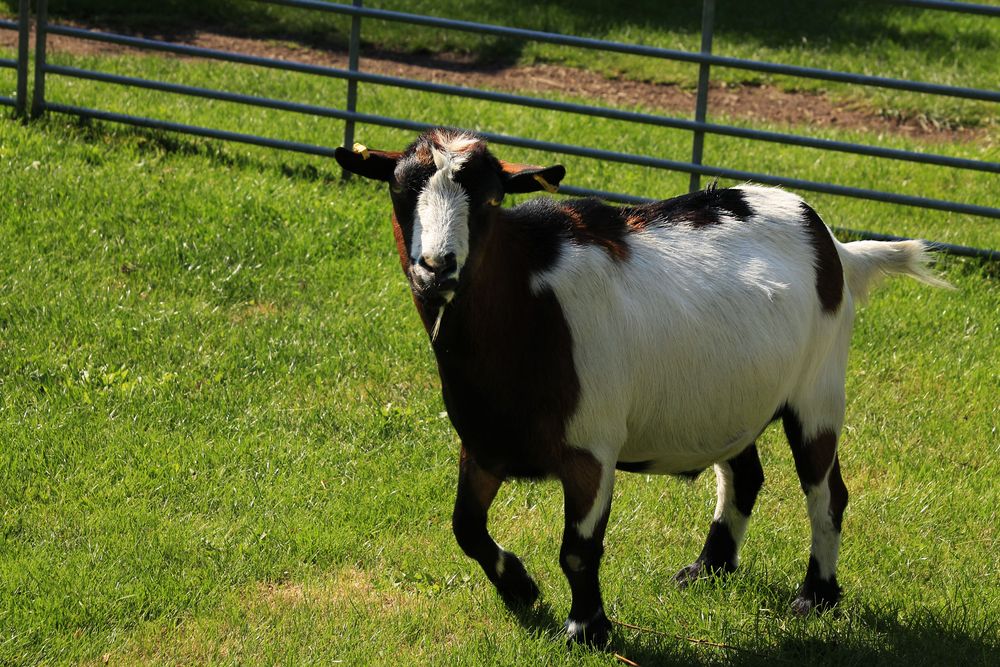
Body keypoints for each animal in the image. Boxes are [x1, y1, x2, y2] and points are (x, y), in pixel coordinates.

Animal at [334, 129, 944, 648]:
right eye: (399, 192)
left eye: (488, 202)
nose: (437, 267)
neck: (530, 312)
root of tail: (836, 247)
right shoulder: (484, 443)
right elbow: (466, 527)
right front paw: (520, 588)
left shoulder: (591, 448)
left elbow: (578, 551)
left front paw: (588, 630)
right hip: (728, 398)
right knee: (744, 476)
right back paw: (707, 570)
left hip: (818, 391)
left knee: (826, 494)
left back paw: (815, 596)